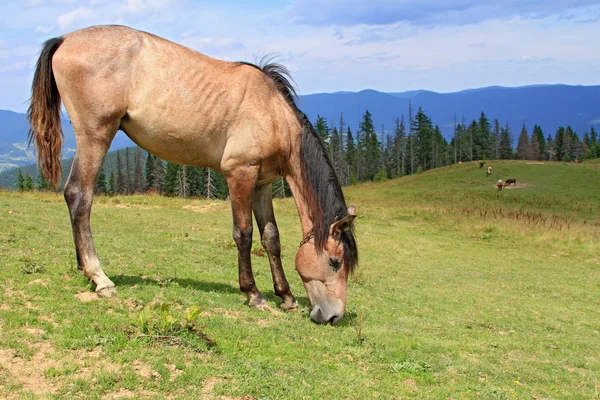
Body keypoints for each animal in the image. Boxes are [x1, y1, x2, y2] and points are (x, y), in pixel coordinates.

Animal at [27, 25, 356, 324]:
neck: (271, 113)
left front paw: (286, 297)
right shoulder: (240, 174)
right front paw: (254, 294)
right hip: (96, 135)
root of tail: (65, 39)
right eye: (335, 261)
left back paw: (84, 269)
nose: (333, 316)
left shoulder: (262, 183)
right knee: (79, 196)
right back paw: (99, 277)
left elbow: (271, 238)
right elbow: (244, 234)